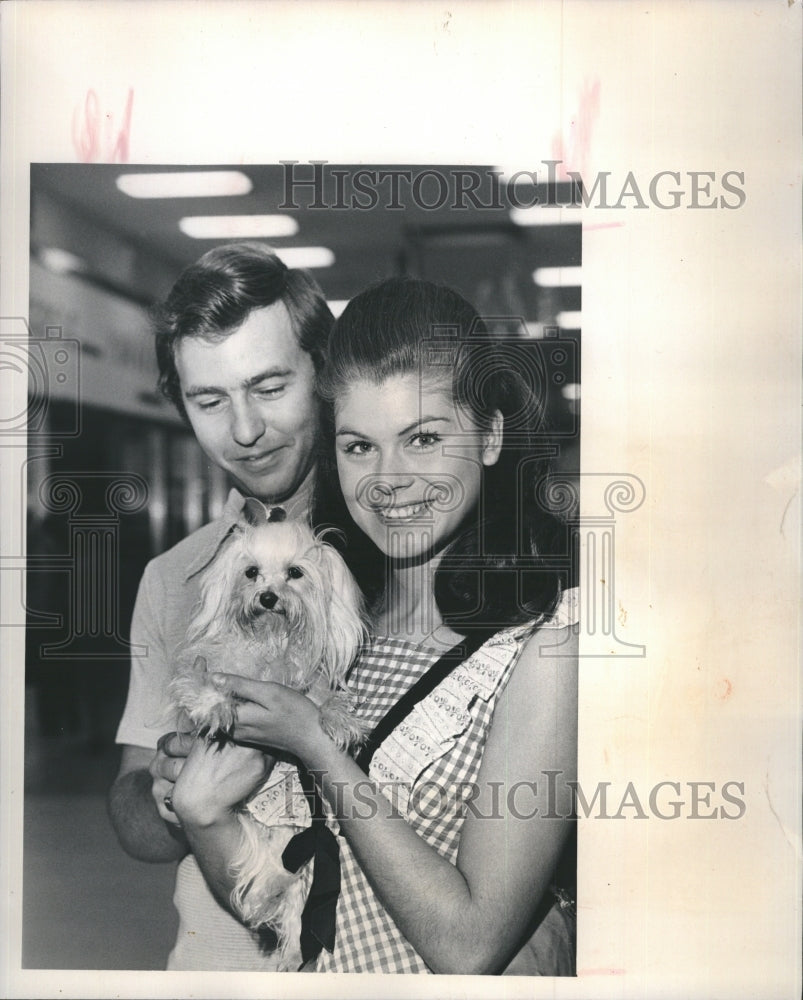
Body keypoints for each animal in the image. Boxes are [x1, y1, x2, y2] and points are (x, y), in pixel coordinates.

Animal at [173, 500, 370, 968]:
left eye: (295, 573)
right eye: (251, 572)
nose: (267, 597)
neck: (271, 641)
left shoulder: (310, 684)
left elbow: (325, 699)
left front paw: (339, 721)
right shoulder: (203, 669)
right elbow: (203, 684)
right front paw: (217, 707)